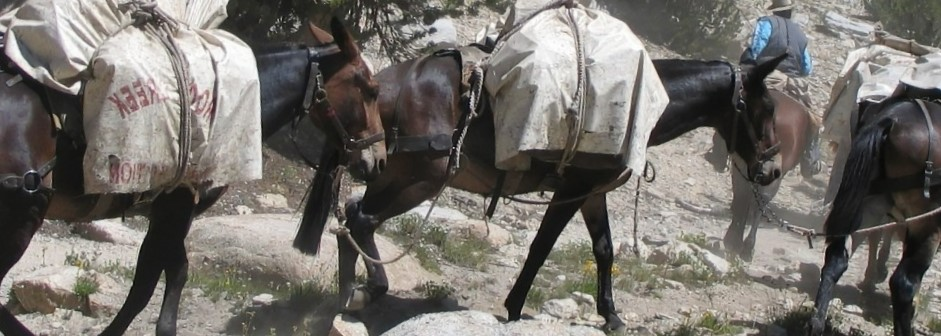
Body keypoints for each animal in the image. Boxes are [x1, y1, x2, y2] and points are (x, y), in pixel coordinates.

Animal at [0, 18, 384, 336]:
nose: (378, 159)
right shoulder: (176, 208)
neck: (229, 104)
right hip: (23, 217)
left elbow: (162, 275)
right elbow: (155, 282)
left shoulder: (166, 214)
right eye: (371, 89)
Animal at [292, 46, 784, 330]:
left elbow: (605, 249)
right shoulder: (572, 190)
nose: (773, 171)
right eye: (766, 109)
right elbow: (542, 247)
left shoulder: (592, 193)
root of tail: (378, 90)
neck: (631, 108)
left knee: (351, 217)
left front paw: (612, 315)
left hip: (391, 174)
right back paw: (364, 292)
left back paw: (343, 297)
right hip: (421, 178)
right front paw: (513, 307)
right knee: (360, 218)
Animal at [700, 90, 820, 262]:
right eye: (817, 136)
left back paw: (734, 242)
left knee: (742, 198)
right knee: (757, 203)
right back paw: (745, 247)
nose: (816, 167)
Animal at [808, 96, 940, 336]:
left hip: (867, 209)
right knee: (904, 283)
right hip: (927, 223)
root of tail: (891, 121)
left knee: (837, 258)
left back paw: (816, 323)